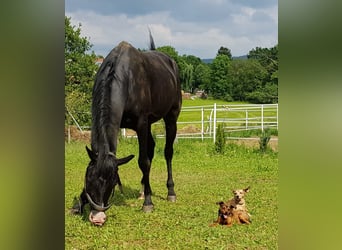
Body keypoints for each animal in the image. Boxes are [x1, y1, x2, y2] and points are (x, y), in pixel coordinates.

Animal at [71, 34, 182, 226]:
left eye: (112, 181)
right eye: (88, 178)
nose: (97, 218)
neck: (125, 79)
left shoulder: (141, 123)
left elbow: (143, 161)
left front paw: (148, 203)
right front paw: (79, 204)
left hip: (171, 117)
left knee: (167, 152)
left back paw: (170, 192)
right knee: (152, 148)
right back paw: (143, 190)